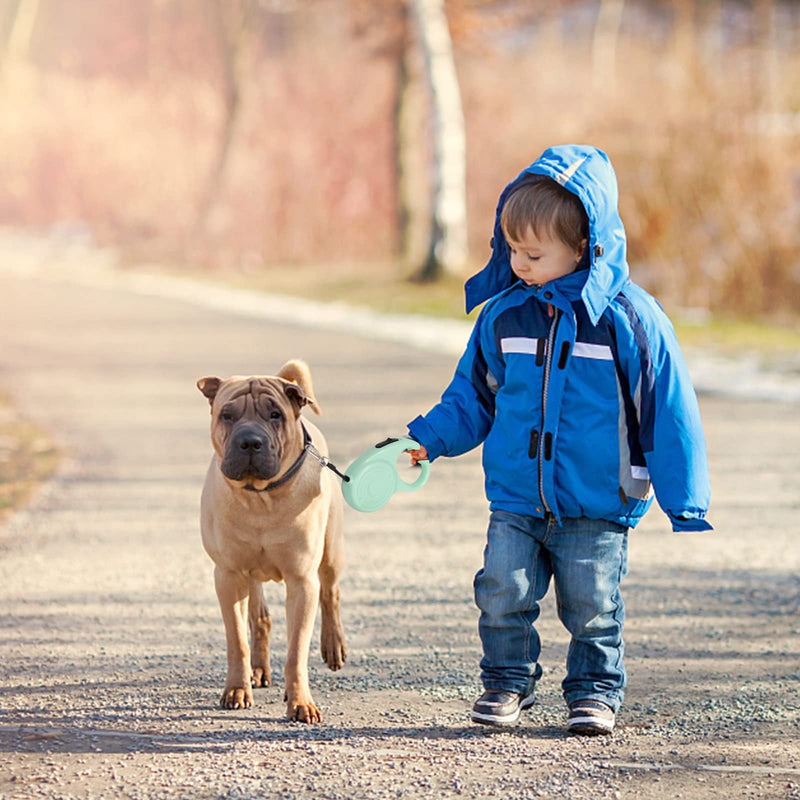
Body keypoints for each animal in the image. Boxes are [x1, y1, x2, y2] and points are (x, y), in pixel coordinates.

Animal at [198, 360, 346, 720]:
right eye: (227, 414)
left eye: (275, 414)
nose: (250, 441)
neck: (261, 498)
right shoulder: (229, 577)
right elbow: (237, 640)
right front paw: (237, 689)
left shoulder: (302, 581)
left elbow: (296, 651)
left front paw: (301, 703)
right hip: (250, 576)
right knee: (259, 618)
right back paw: (258, 670)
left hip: (331, 552)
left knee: (331, 593)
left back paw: (333, 646)